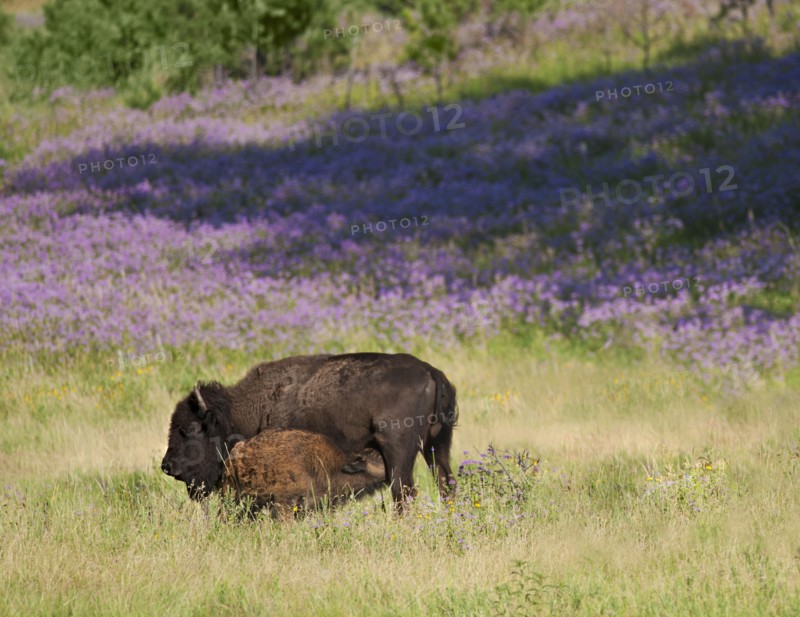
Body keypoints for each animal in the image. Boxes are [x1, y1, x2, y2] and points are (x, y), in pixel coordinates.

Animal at [160, 353, 458, 509]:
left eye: (189, 428)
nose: (167, 466)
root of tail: (430, 371)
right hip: (438, 445)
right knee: (445, 483)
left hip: (398, 451)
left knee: (402, 491)